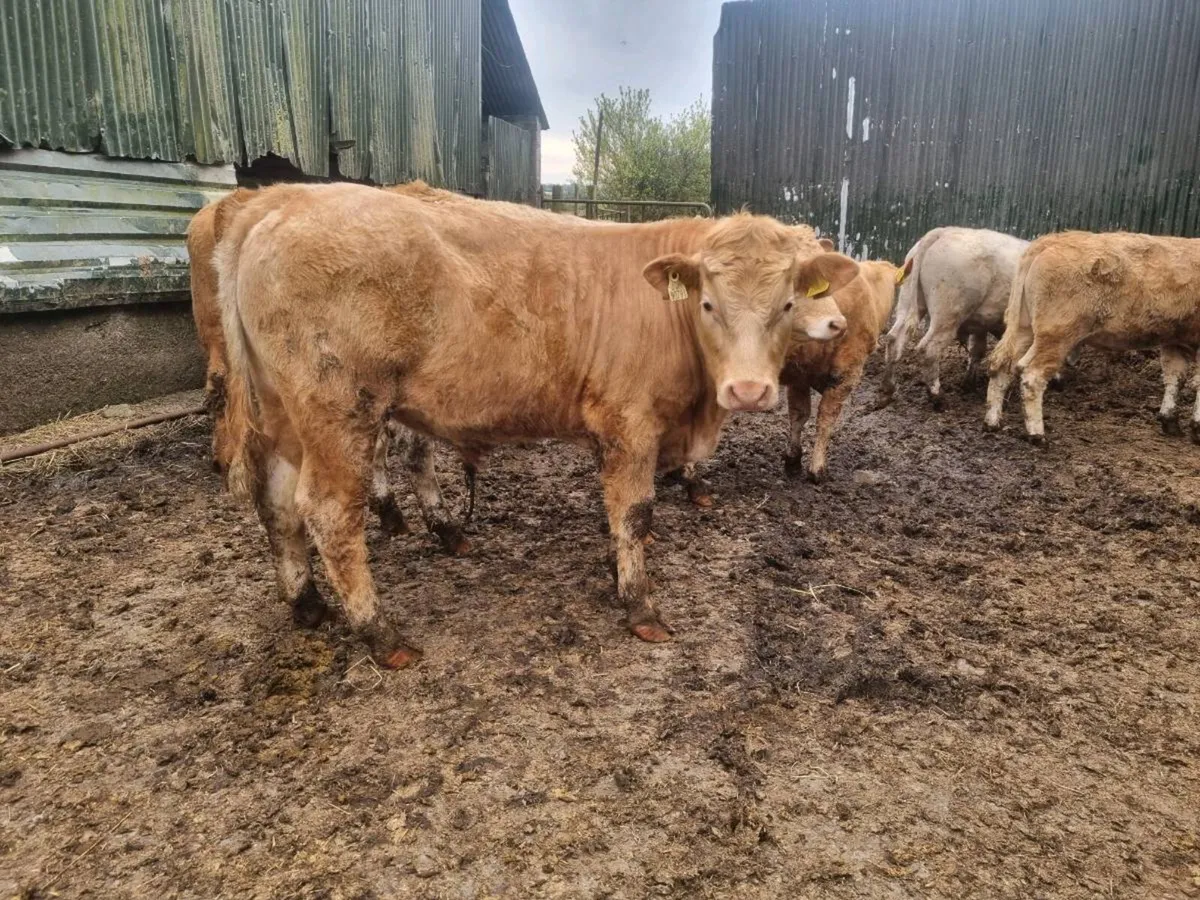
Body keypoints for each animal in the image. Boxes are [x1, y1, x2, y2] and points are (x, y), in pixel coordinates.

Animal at [879, 227, 1030, 409]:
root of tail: (943, 231)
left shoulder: (982, 323)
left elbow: (978, 349)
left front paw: (969, 383)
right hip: (947, 315)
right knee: (929, 348)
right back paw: (937, 396)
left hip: (908, 300)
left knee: (894, 338)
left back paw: (888, 389)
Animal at [984, 230, 1200, 443]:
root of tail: (1051, 239)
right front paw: (1196, 428)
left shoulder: (1175, 340)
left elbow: (1175, 378)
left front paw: (1170, 420)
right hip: (1056, 334)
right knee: (1032, 375)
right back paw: (1037, 434)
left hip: (1024, 327)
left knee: (1002, 364)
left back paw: (992, 421)